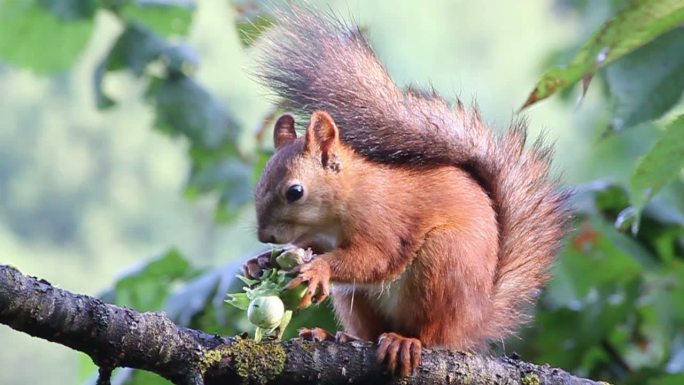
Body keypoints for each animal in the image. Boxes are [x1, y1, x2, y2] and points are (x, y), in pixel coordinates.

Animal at [243, 7, 568, 376]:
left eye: (295, 191)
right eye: (259, 184)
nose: (265, 236)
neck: (345, 199)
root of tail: (475, 323)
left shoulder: (383, 222)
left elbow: (375, 258)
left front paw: (318, 268)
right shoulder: (319, 237)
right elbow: (312, 248)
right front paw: (260, 262)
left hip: (444, 263)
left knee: (432, 333)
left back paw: (406, 341)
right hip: (358, 301)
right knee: (370, 331)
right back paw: (333, 335)